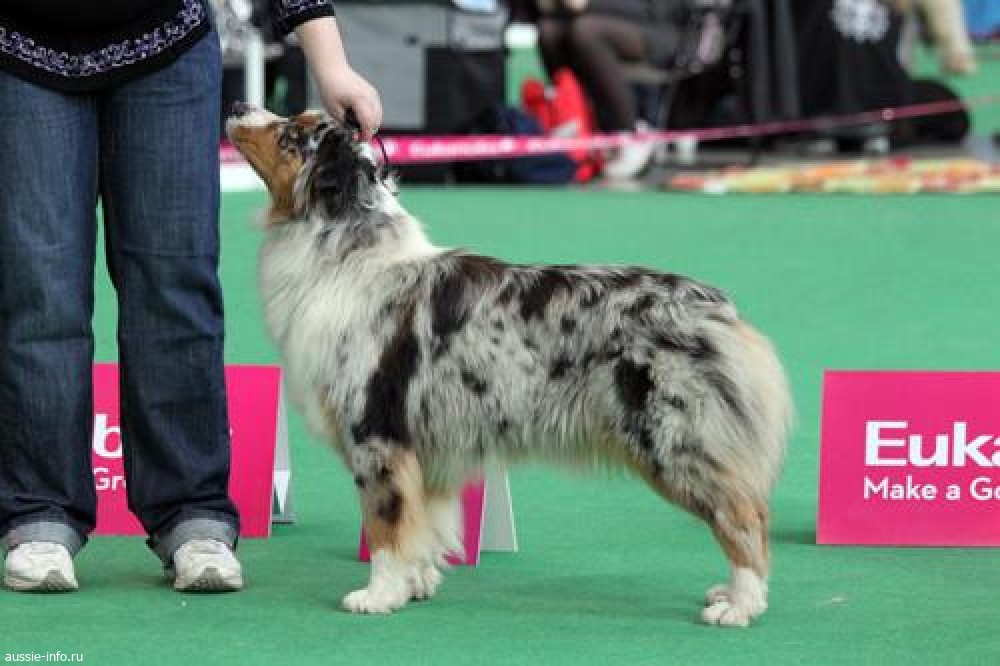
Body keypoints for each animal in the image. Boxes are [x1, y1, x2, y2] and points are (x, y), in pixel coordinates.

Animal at [226, 105, 792, 627]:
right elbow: (422, 525)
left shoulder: (377, 433)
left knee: (743, 515)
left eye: (292, 135)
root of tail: (717, 308)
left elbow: (386, 525)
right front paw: (415, 584)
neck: (344, 253)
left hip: (675, 439)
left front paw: (378, 595)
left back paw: (739, 605)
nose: (237, 107)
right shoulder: (427, 449)